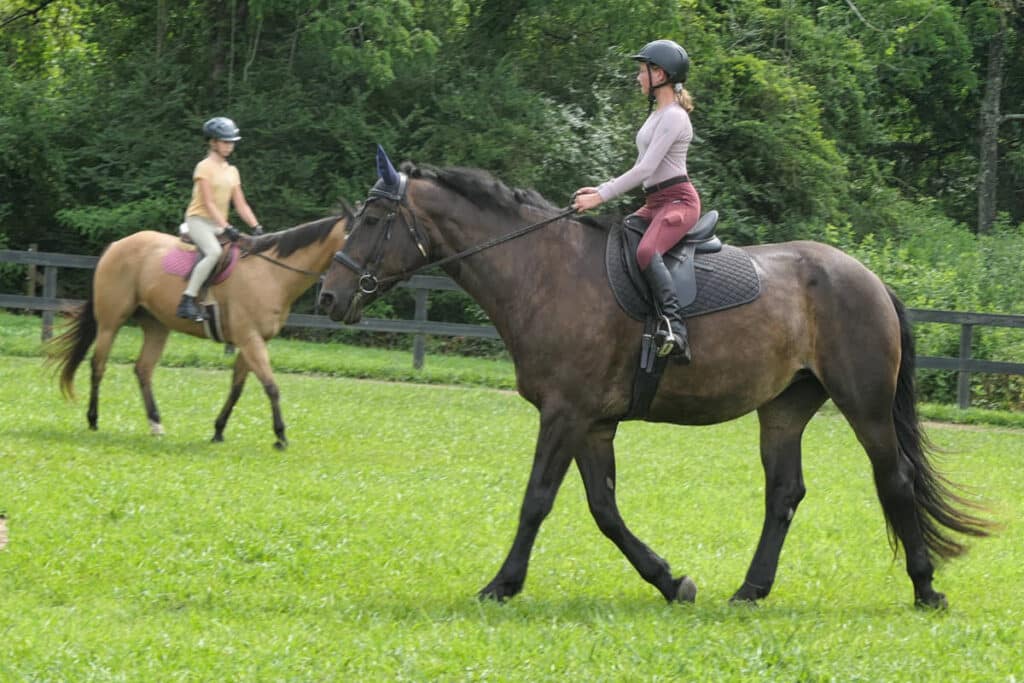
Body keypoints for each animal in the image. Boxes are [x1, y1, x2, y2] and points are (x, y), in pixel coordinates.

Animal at [48, 211, 350, 448]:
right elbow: (271, 386)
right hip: (111, 322)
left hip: (156, 325)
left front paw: (219, 430)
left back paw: (155, 423)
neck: (271, 273)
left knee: (143, 369)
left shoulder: (253, 341)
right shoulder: (249, 338)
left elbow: (238, 387)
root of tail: (116, 245)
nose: (332, 300)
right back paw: (93, 419)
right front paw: (280, 435)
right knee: (98, 365)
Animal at [315, 149, 987, 610]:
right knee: (784, 494)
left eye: (372, 219)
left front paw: (501, 584)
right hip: (784, 408)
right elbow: (604, 509)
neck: (546, 272)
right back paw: (750, 590)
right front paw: (671, 581)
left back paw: (926, 590)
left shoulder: (565, 414)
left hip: (864, 405)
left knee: (895, 480)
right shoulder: (591, 423)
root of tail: (868, 277)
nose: (327, 296)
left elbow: (537, 500)